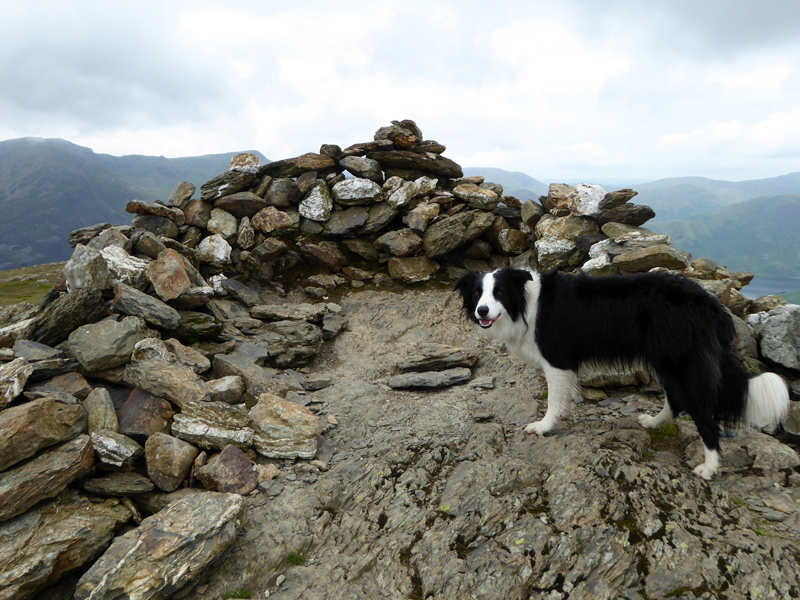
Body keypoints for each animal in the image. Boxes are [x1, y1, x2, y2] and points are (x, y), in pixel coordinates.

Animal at [456, 270, 788, 480]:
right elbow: (565, 395)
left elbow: (552, 399)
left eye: (498, 292)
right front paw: (564, 414)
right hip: (665, 361)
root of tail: (711, 304)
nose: (482, 311)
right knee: (675, 399)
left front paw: (544, 426)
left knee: (704, 416)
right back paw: (653, 422)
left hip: (682, 364)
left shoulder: (556, 360)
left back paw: (709, 467)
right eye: (477, 293)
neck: (524, 304)